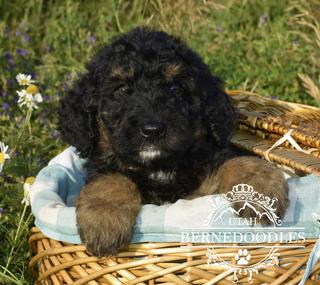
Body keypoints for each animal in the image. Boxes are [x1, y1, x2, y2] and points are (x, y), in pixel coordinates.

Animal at [58, 27, 290, 256]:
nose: (152, 131)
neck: (160, 168)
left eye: (175, 88)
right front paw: (104, 219)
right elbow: (110, 180)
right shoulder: (103, 166)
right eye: (122, 90)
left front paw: (259, 188)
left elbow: (235, 160)